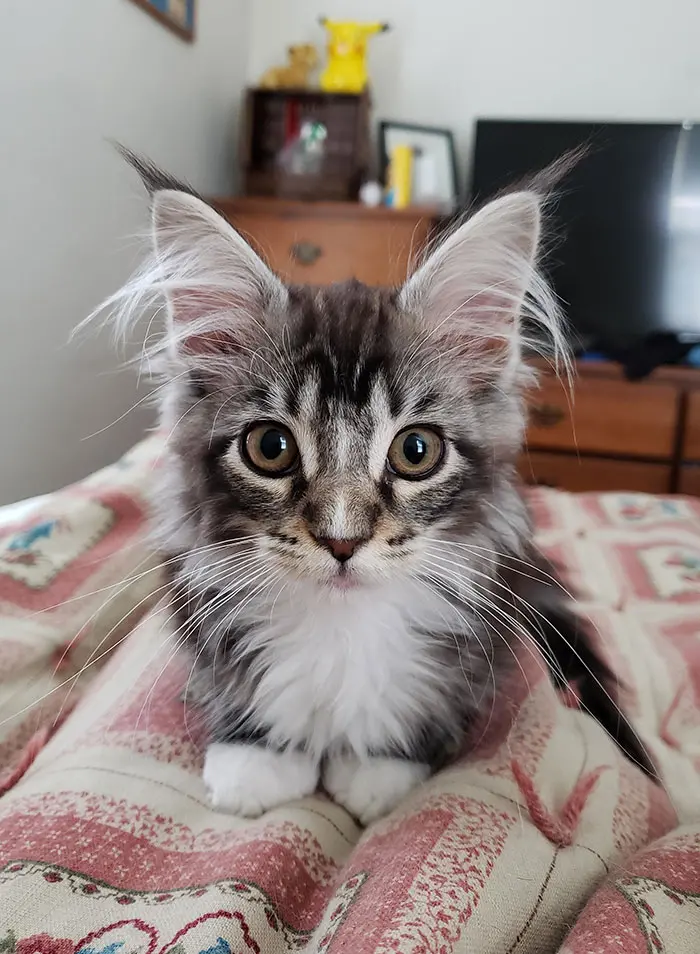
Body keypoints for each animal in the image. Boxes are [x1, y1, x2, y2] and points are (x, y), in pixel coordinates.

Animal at [104, 152, 656, 820]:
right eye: (270, 448)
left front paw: (381, 769)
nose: (342, 541)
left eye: (415, 451)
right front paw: (255, 758)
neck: (341, 625)